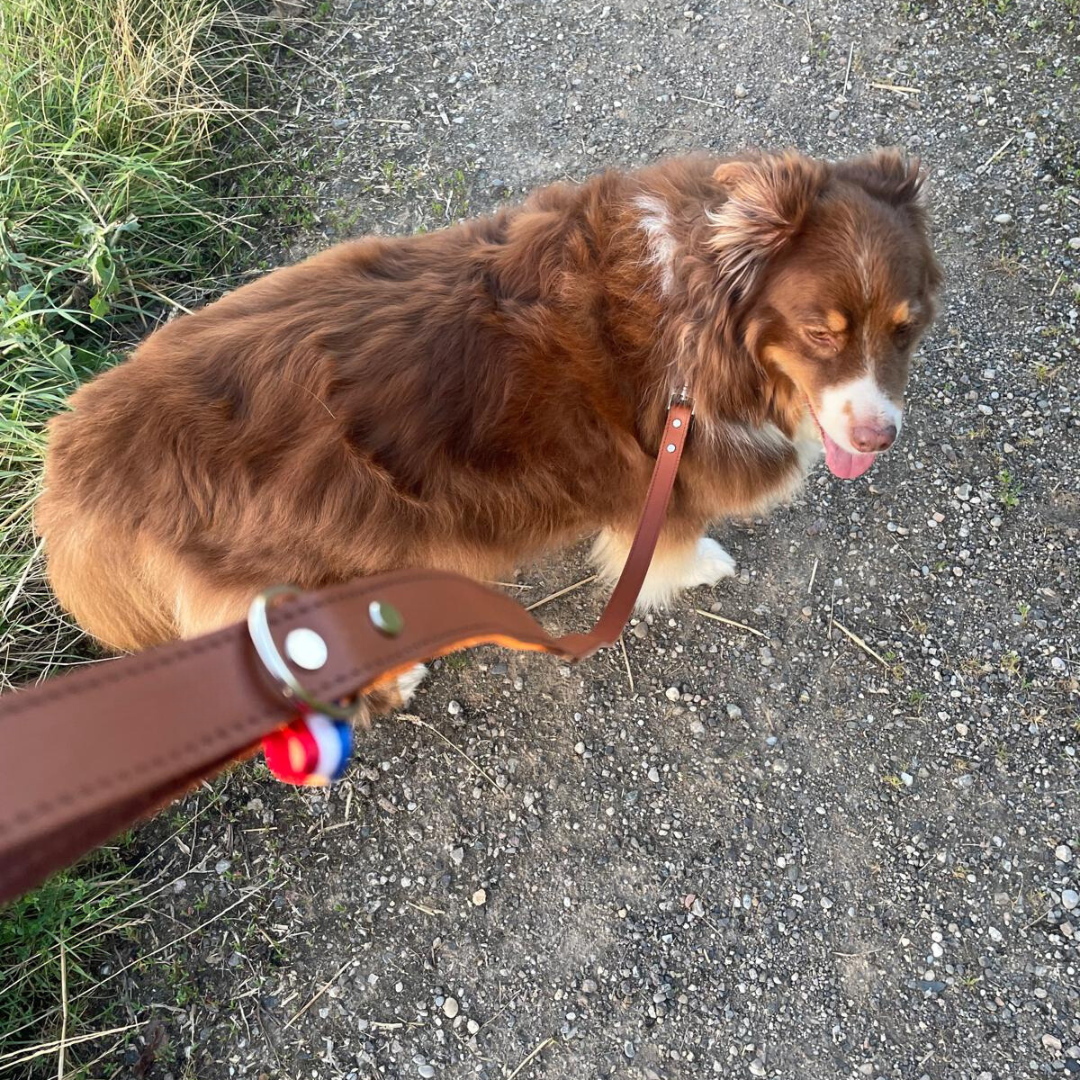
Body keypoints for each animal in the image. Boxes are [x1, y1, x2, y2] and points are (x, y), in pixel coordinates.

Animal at [38, 145, 941, 717]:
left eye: (906, 327)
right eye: (820, 332)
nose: (879, 438)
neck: (701, 309)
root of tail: (72, 467)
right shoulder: (666, 484)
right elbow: (670, 549)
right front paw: (703, 567)